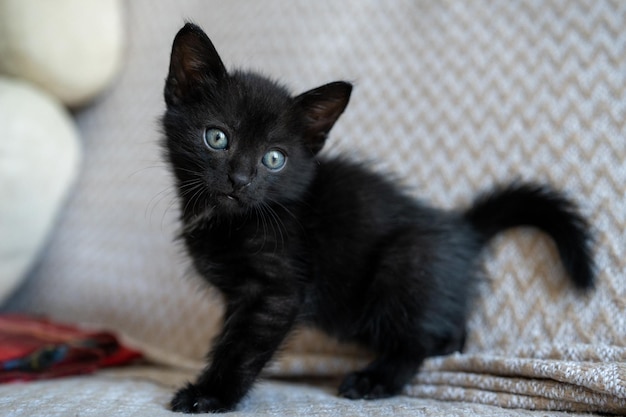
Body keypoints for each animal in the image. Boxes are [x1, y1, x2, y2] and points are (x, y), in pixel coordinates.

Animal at [158, 23, 592, 412]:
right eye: (217, 137)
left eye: (274, 159)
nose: (240, 179)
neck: (225, 218)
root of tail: (462, 229)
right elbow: (228, 337)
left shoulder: (277, 289)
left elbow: (243, 346)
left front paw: (211, 394)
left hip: (404, 263)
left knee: (420, 341)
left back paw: (375, 378)